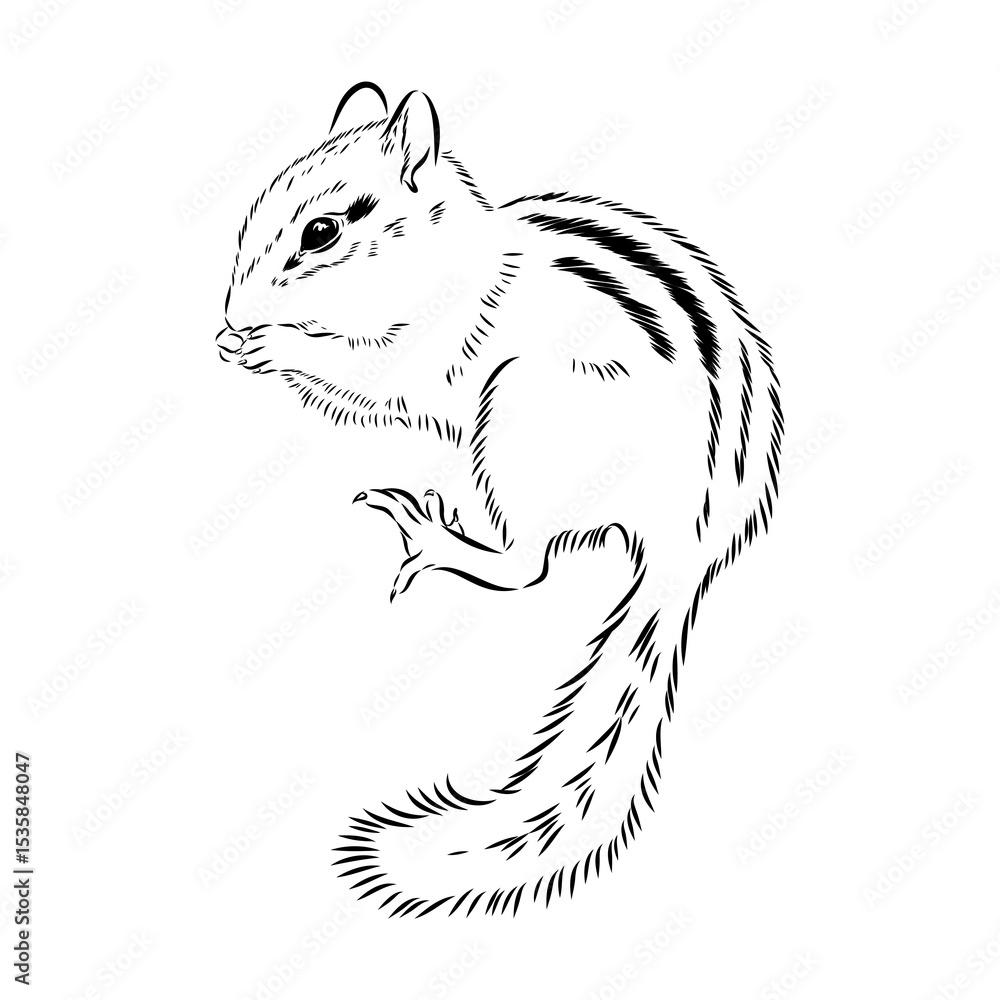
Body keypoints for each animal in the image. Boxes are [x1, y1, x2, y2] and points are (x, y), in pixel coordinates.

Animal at [216, 82, 784, 918]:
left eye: (322, 231)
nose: (233, 315)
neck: (445, 257)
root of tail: (694, 541)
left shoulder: (432, 343)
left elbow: (376, 376)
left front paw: (270, 344)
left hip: (520, 423)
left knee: (525, 566)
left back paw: (435, 536)